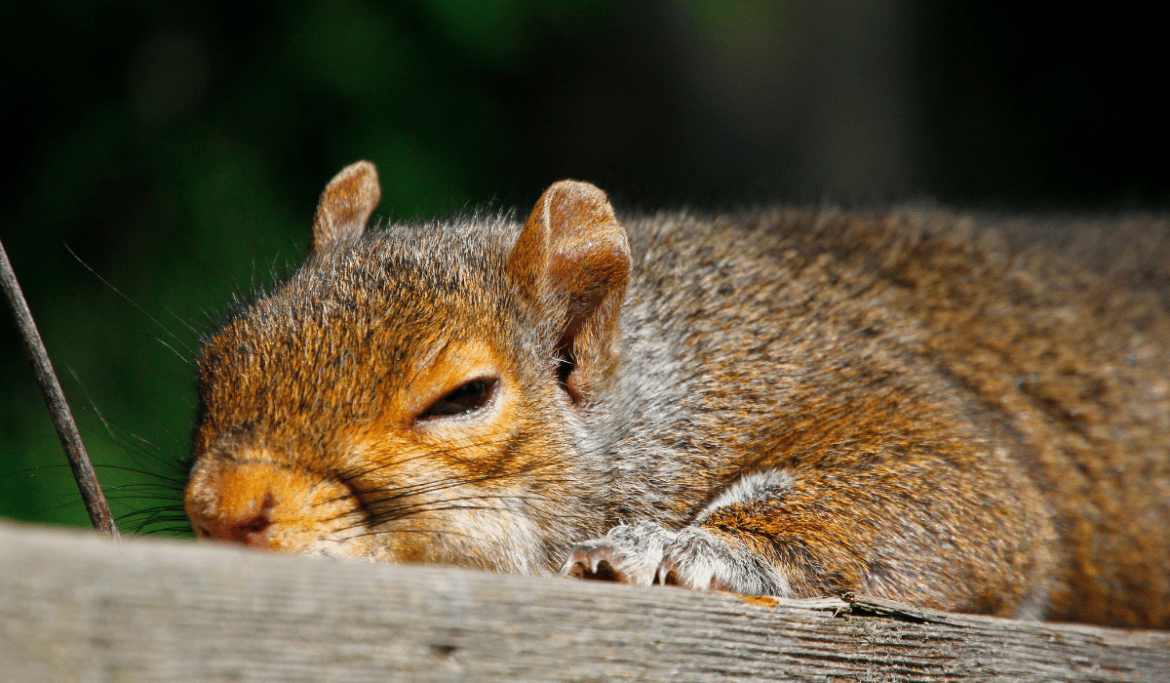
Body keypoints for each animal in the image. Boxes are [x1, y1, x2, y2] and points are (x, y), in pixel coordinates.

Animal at [184, 161, 1170, 629]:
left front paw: (675, 547)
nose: (221, 508)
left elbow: (978, 492)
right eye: (215, 359)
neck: (655, 382)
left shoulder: (827, 376)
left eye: (464, 395)